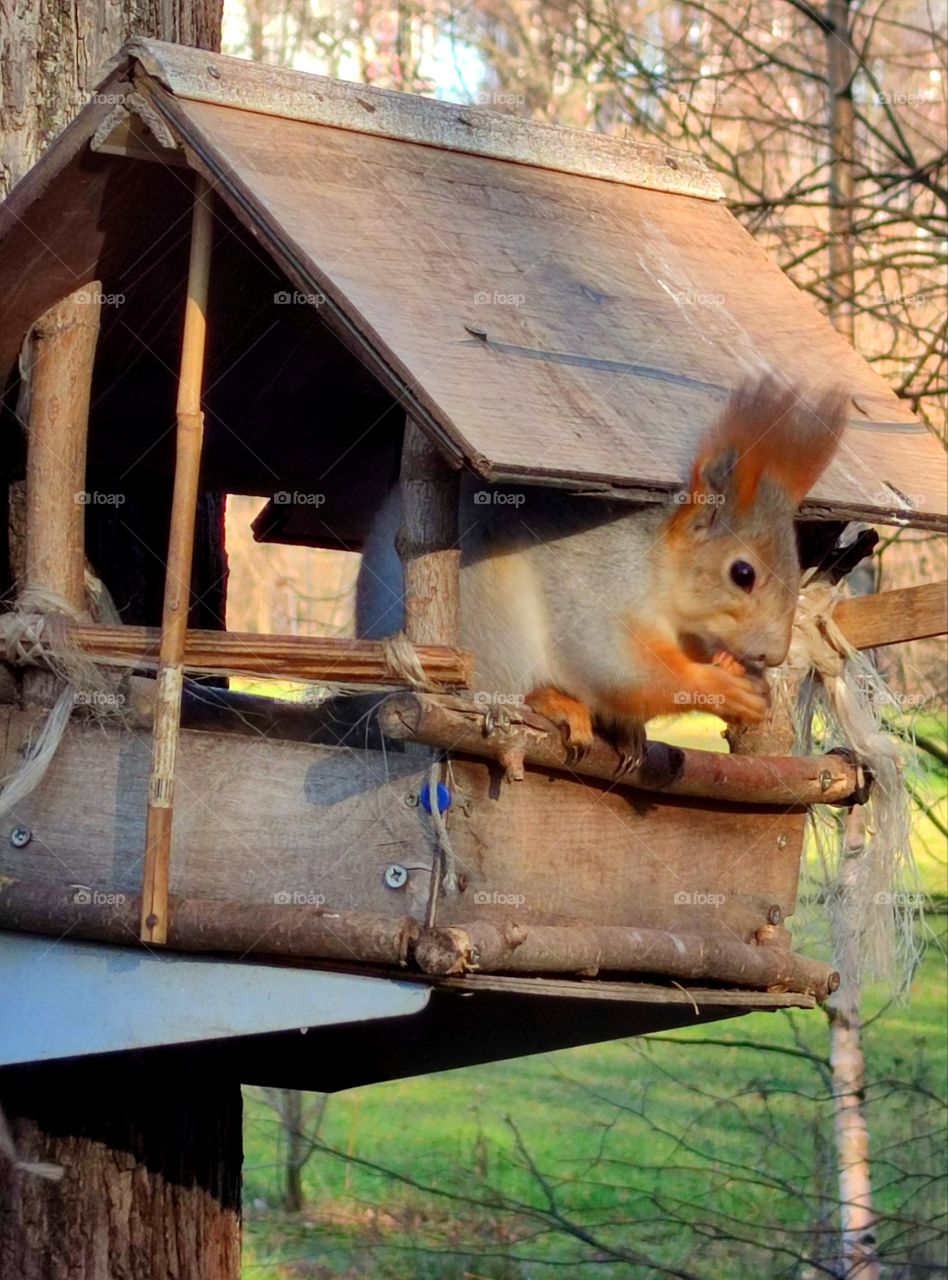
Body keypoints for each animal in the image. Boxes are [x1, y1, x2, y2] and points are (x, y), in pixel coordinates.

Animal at [356, 378, 846, 770]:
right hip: (489, 624)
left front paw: (728, 666)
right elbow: (622, 672)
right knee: (506, 693)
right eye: (742, 573)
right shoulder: (594, 592)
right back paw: (555, 703)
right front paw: (722, 688)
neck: (658, 574)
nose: (773, 655)